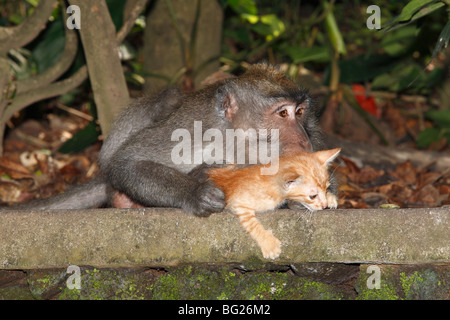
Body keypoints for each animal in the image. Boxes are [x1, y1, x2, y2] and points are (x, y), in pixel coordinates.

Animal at [7, 63, 330, 215]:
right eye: (282, 113)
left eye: (300, 112)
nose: (303, 139)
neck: (240, 145)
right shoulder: (195, 127)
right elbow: (128, 161)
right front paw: (196, 191)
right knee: (170, 96)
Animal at [207, 149, 342, 258]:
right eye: (312, 196)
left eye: (326, 188)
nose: (324, 206)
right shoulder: (237, 202)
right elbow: (252, 224)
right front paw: (269, 244)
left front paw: (330, 198)